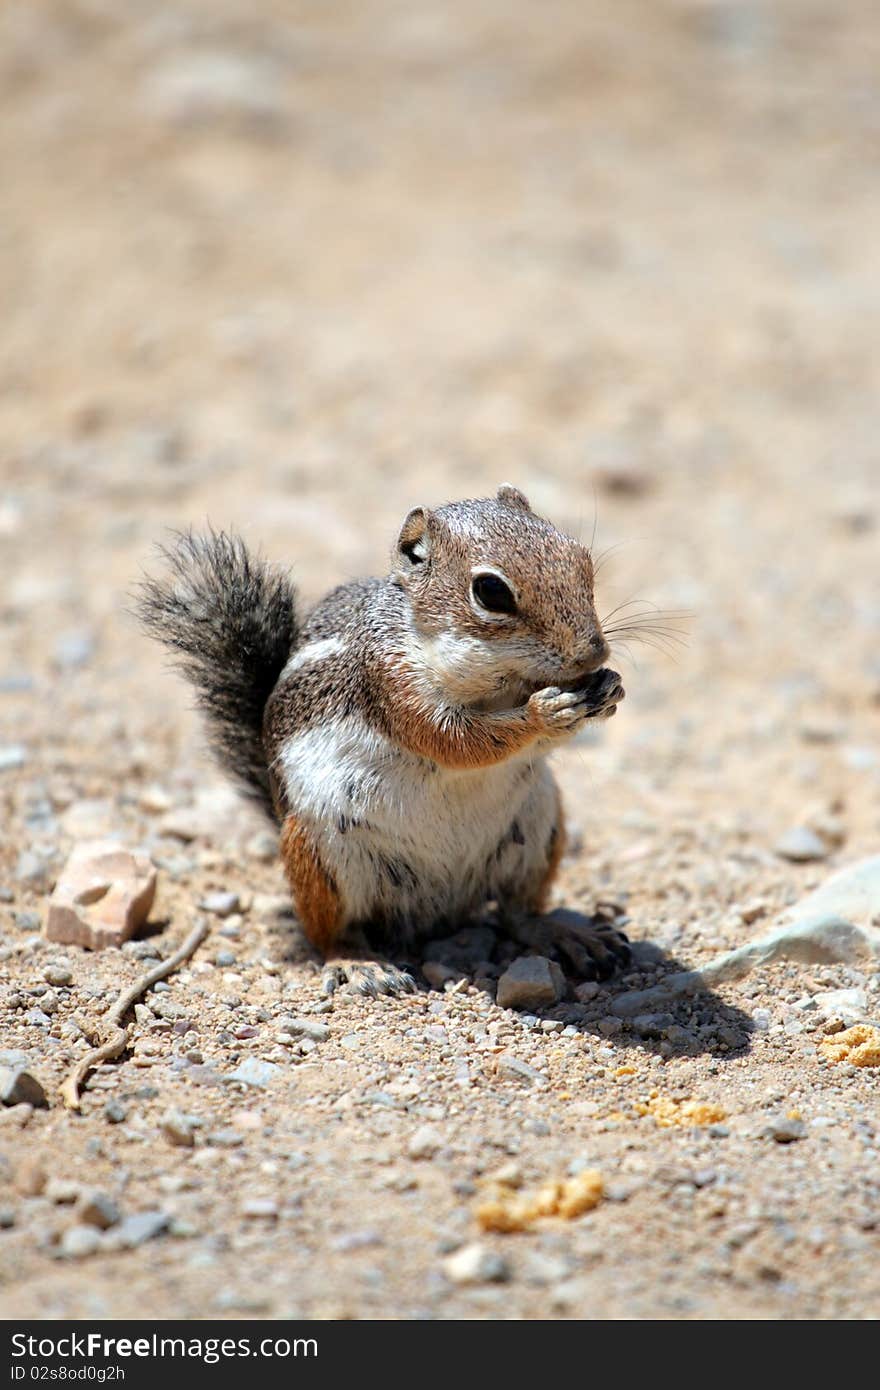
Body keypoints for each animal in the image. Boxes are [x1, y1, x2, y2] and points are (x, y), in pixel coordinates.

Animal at [139, 483, 631, 995]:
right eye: (491, 592)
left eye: (580, 557)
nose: (593, 653)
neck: (498, 682)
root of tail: (440, 908)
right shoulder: (392, 682)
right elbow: (457, 740)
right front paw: (544, 712)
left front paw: (609, 687)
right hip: (321, 857)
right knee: (329, 933)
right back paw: (359, 963)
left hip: (539, 831)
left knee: (517, 913)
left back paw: (565, 934)